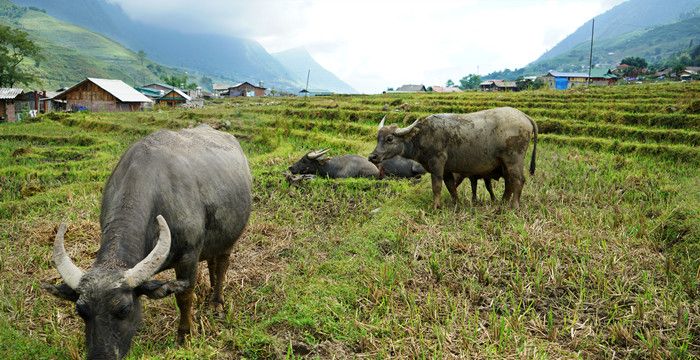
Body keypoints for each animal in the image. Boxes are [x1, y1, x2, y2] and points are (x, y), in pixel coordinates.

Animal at [42, 125, 253, 358]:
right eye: (80, 311)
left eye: (124, 309)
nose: (101, 356)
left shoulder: (188, 257)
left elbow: (184, 296)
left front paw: (184, 335)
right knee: (212, 262)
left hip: (231, 238)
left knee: (222, 264)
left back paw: (216, 302)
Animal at [370, 107, 540, 208]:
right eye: (378, 137)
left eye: (389, 139)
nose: (372, 156)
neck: (422, 135)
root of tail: (524, 116)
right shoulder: (447, 170)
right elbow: (451, 186)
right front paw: (455, 203)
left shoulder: (437, 164)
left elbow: (437, 186)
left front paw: (436, 206)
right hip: (504, 164)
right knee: (509, 182)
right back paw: (503, 203)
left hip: (513, 160)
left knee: (518, 180)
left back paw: (513, 206)